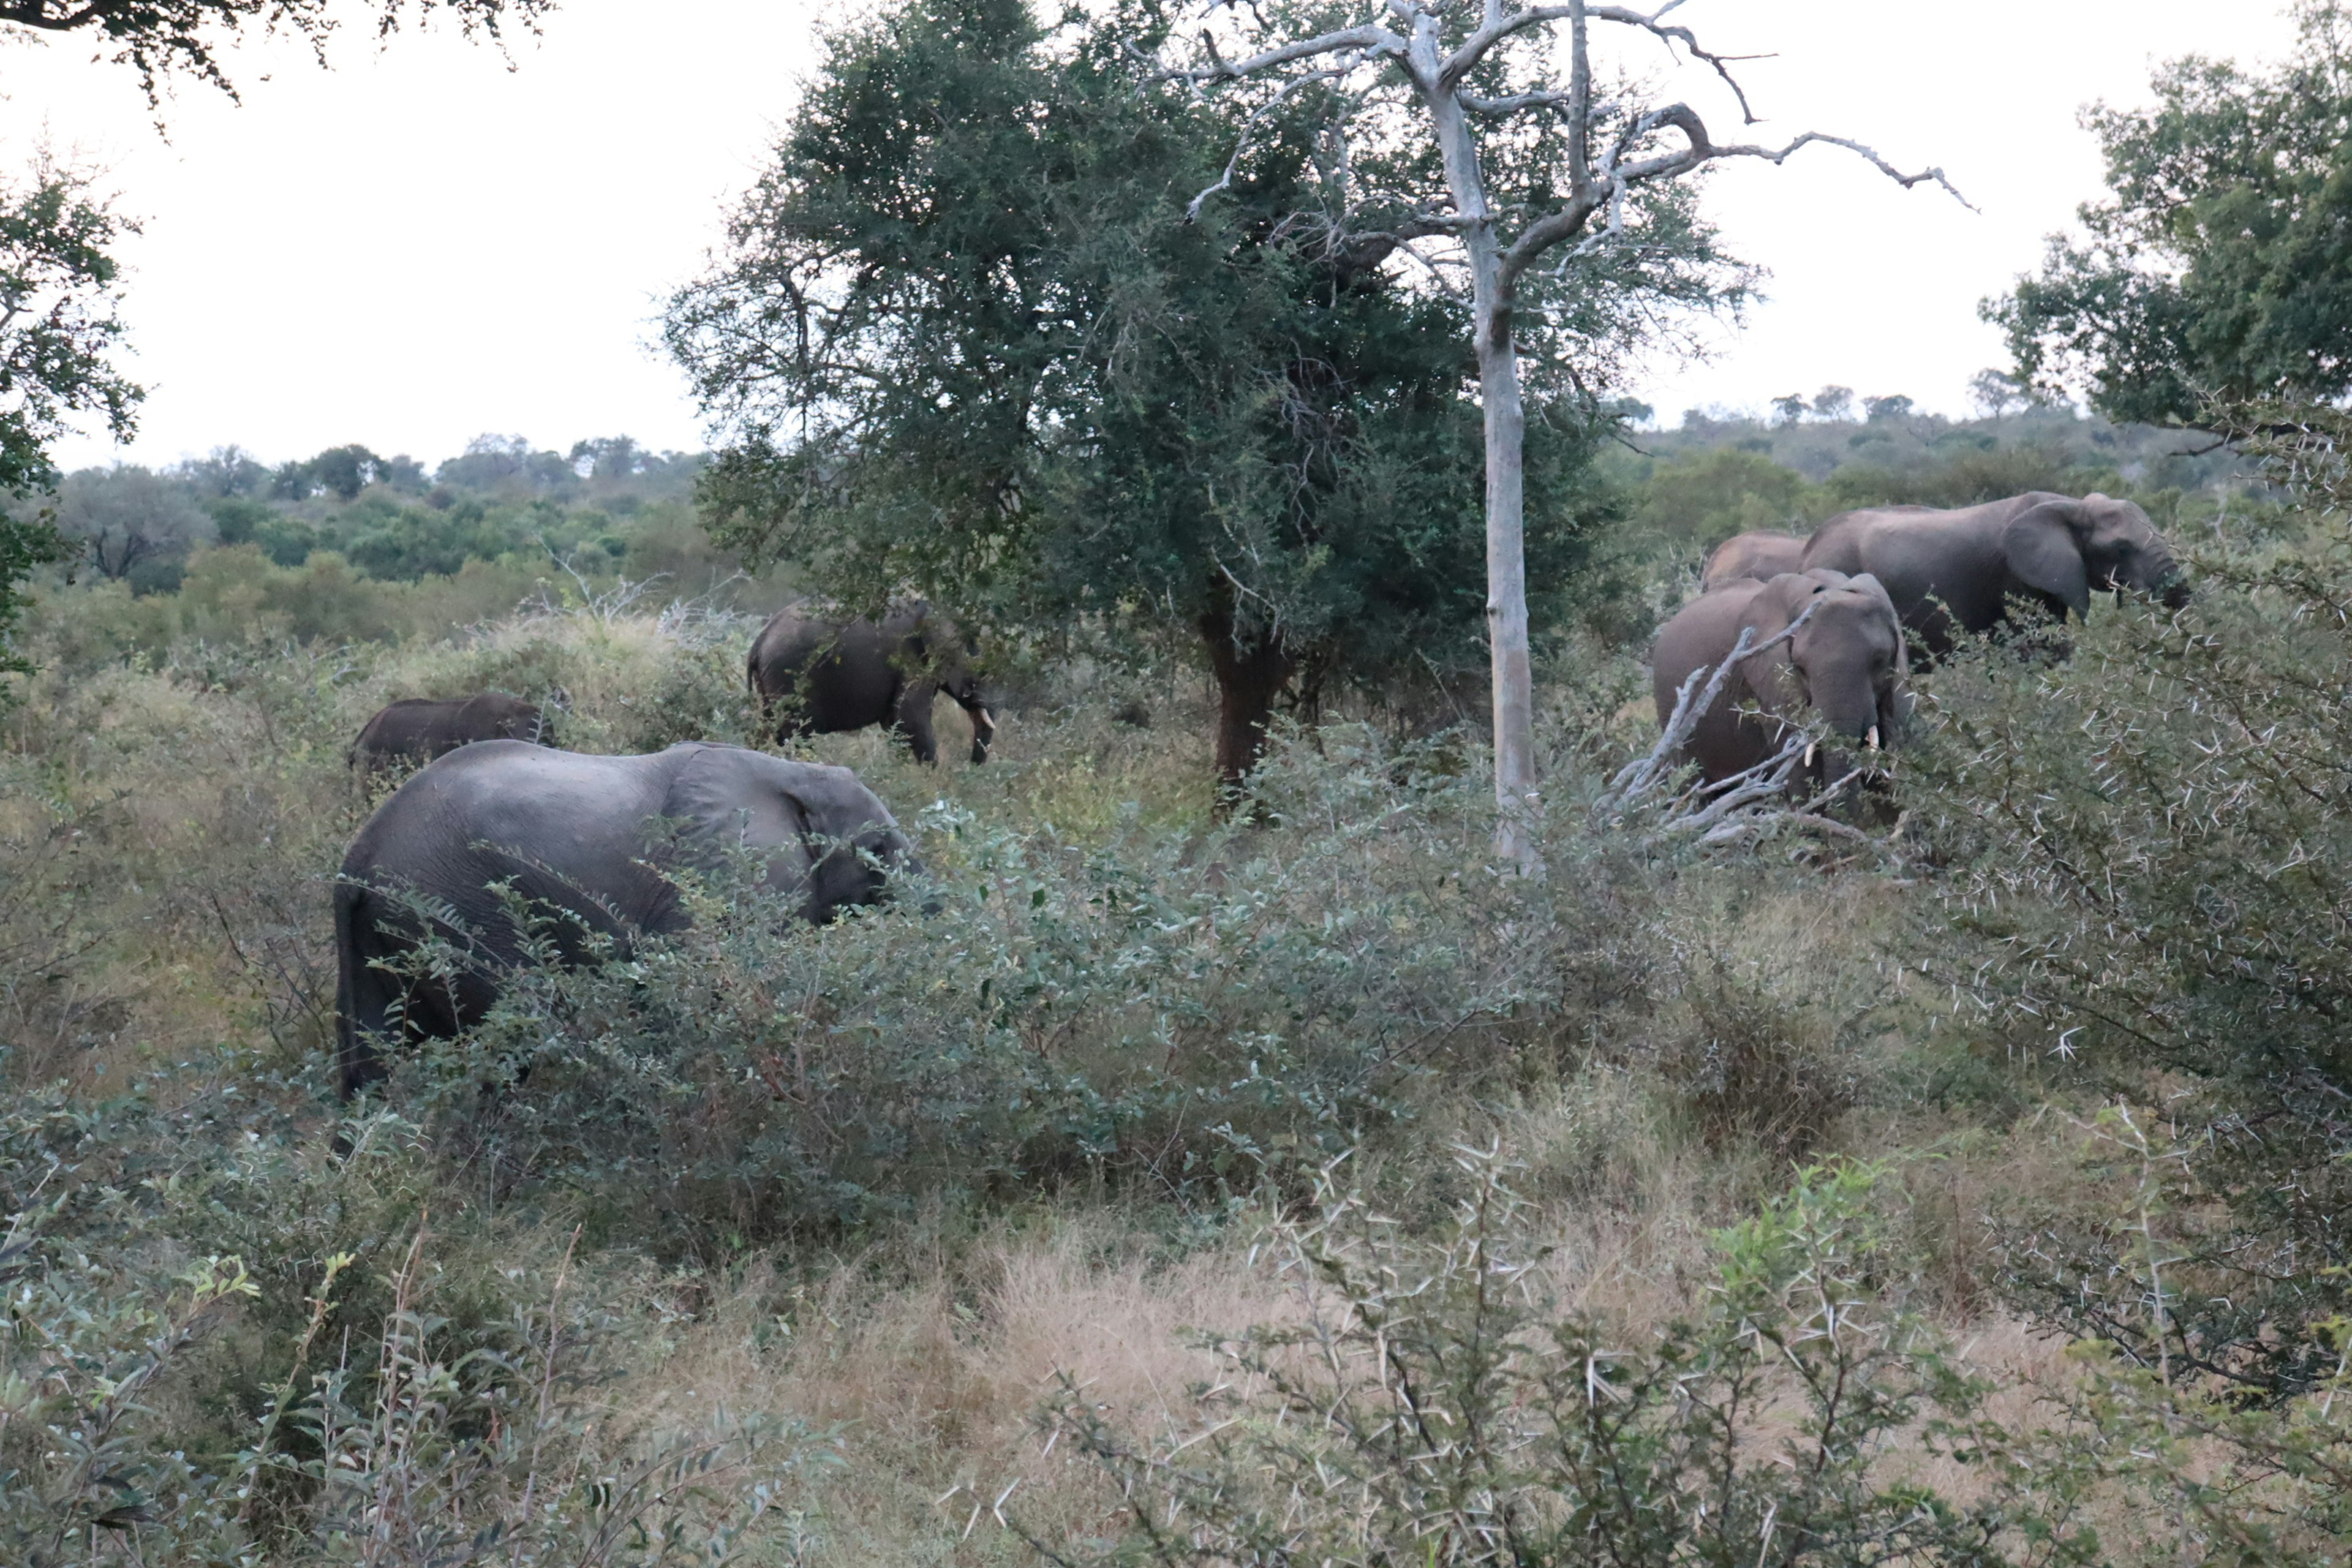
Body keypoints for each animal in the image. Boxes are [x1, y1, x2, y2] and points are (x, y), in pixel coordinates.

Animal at [334, 742, 917, 1100]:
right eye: (878, 850)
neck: (796, 775)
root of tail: (357, 858)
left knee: (369, 1065)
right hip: (460, 910)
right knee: (511, 1041)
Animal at [748, 601, 997, 766]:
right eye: (978, 670)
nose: (970, 766)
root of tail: (759, 641)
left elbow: (896, 724)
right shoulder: (911, 660)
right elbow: (911, 719)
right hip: (788, 675)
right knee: (796, 734)